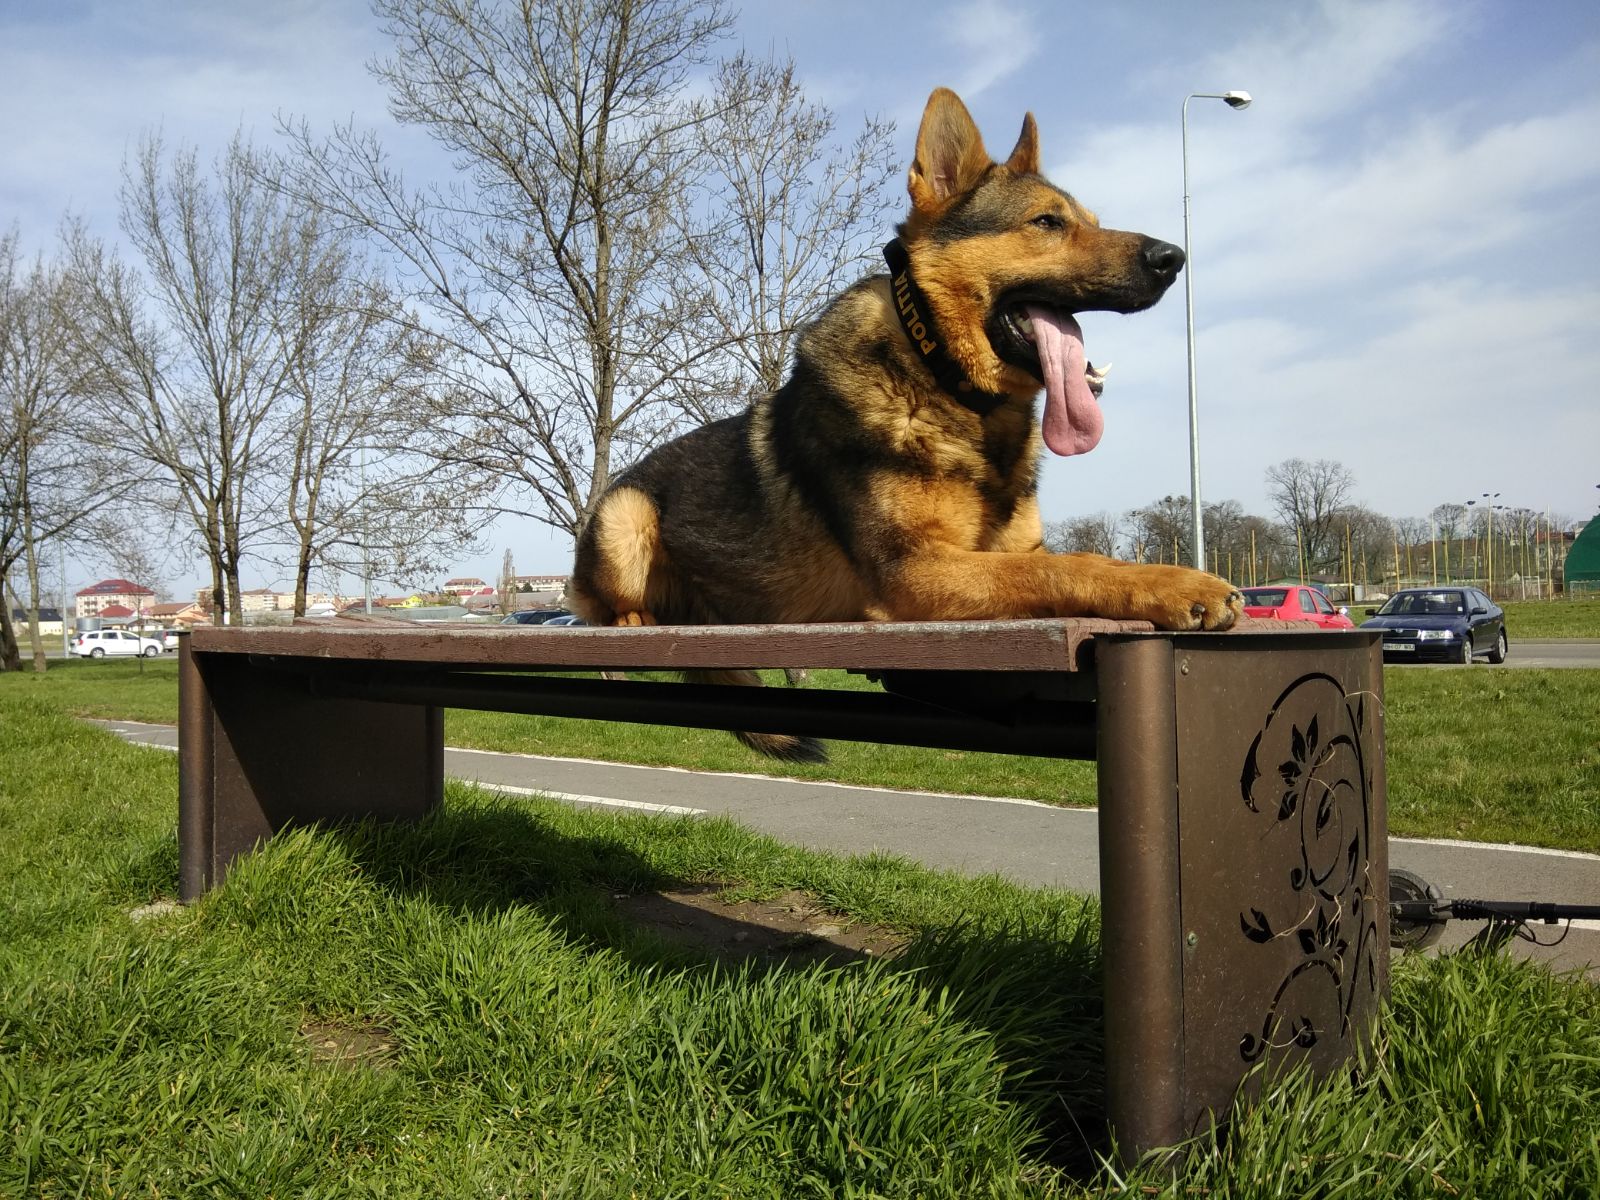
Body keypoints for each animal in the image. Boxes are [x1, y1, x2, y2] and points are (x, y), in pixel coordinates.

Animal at [569, 86, 1241, 761]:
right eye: (1047, 223)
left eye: (1093, 221)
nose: (1173, 258)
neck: (946, 385)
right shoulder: (916, 571)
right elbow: (1069, 565)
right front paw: (1181, 587)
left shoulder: (1001, 550)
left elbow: (1080, 557)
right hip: (626, 514)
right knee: (605, 610)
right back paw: (638, 620)